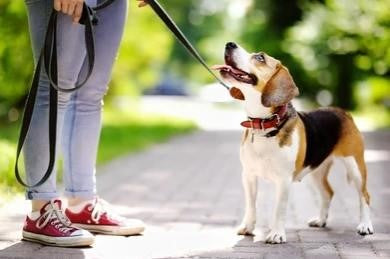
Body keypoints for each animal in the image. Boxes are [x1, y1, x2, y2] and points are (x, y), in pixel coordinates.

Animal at [213, 42, 374, 244]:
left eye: (260, 57)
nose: (229, 44)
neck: (264, 125)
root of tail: (343, 112)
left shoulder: (283, 180)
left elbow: (279, 209)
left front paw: (276, 234)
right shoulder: (248, 176)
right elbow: (251, 205)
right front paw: (248, 227)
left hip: (355, 166)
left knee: (365, 195)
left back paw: (365, 225)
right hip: (317, 170)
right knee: (328, 193)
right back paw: (321, 220)